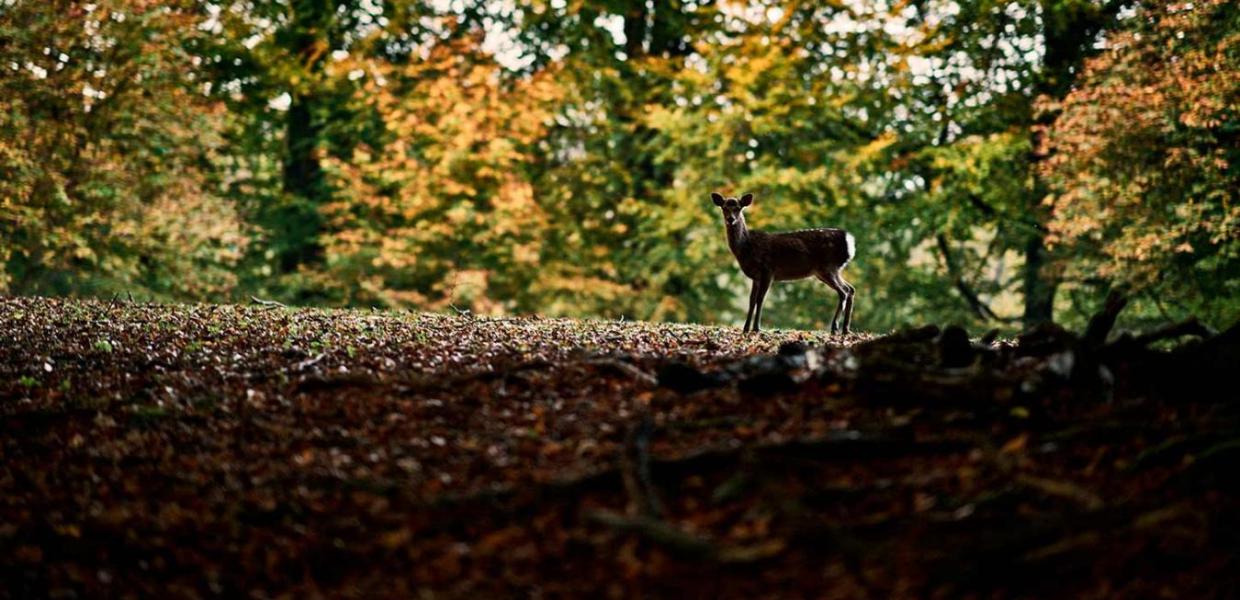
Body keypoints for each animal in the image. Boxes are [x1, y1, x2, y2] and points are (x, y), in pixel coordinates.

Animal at [714, 190, 858, 332]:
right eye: (724, 208)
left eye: (738, 208)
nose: (730, 219)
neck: (746, 247)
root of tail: (849, 241)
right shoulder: (756, 277)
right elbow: (751, 300)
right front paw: (745, 329)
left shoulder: (768, 270)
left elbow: (760, 299)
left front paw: (756, 328)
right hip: (827, 271)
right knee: (850, 289)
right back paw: (846, 329)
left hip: (828, 267)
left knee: (843, 292)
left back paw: (835, 327)